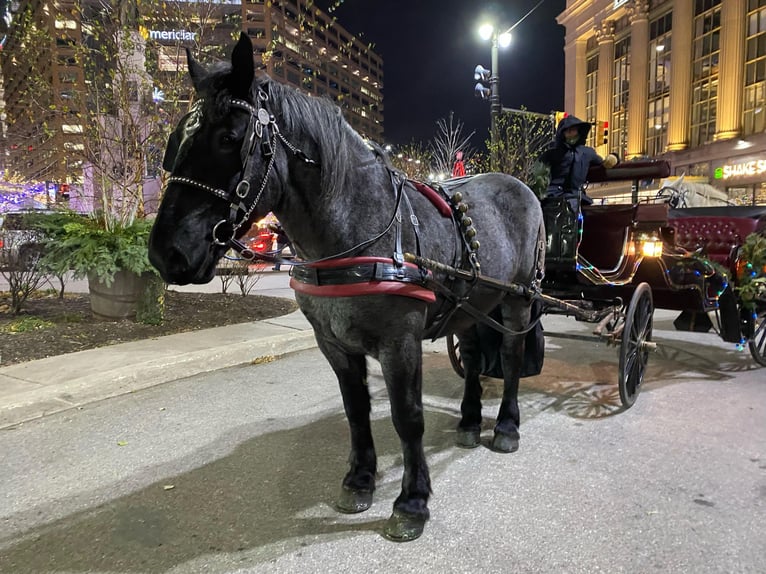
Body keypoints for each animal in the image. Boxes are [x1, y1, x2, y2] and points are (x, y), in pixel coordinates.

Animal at [148, 33, 544, 544]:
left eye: (228, 139)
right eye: (175, 140)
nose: (165, 253)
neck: (358, 226)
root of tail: (518, 184)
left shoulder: (400, 343)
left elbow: (408, 417)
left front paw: (411, 501)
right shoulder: (334, 343)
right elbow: (356, 410)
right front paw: (359, 480)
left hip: (518, 299)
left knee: (511, 359)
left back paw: (507, 426)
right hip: (472, 302)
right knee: (475, 356)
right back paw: (471, 421)